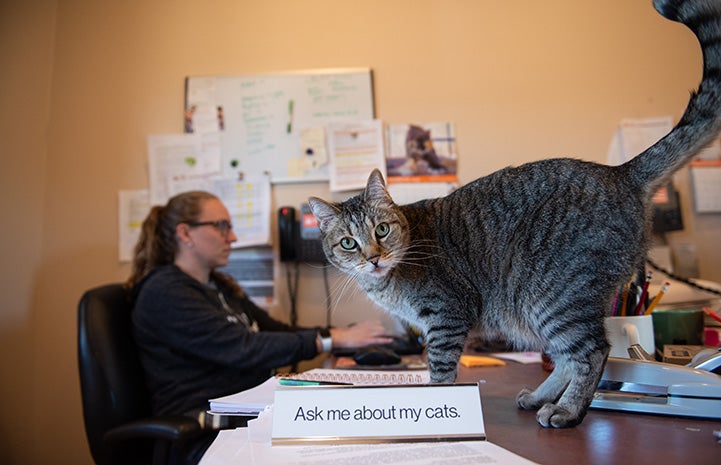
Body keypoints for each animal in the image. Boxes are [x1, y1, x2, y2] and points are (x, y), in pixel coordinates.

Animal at [306, 0, 720, 428]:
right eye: (348, 243)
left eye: (382, 230)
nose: (373, 258)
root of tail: (619, 171)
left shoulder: (447, 314)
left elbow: (440, 370)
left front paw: (437, 408)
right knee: (568, 357)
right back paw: (540, 397)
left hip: (554, 294)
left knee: (592, 352)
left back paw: (568, 409)